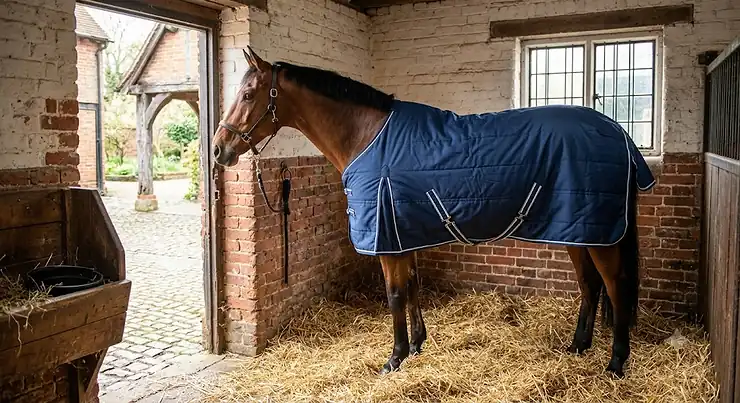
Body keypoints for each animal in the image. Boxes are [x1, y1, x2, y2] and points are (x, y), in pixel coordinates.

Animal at [212, 47, 656, 378]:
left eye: (248, 95)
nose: (219, 149)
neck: (367, 136)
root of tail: (618, 133)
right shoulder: (401, 231)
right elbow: (412, 286)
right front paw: (416, 344)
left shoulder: (386, 236)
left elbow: (394, 293)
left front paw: (393, 358)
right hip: (577, 231)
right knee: (590, 286)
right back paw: (578, 346)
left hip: (598, 234)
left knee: (615, 286)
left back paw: (616, 363)